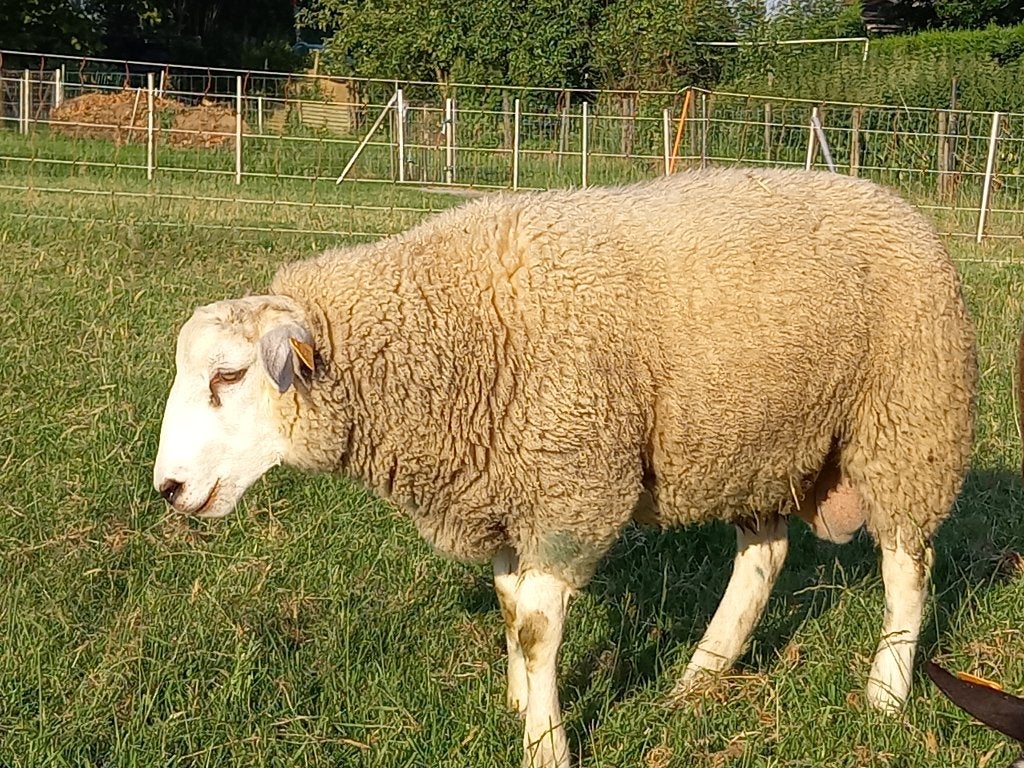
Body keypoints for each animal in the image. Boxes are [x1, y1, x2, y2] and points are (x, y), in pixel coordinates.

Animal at [153, 167, 977, 768]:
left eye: (229, 376)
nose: (169, 488)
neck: (450, 334)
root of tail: (897, 203)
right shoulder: (500, 488)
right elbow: (509, 605)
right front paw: (522, 705)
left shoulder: (572, 488)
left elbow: (535, 626)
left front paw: (545, 745)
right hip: (752, 440)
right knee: (765, 554)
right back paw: (699, 677)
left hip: (908, 421)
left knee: (907, 566)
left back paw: (885, 696)